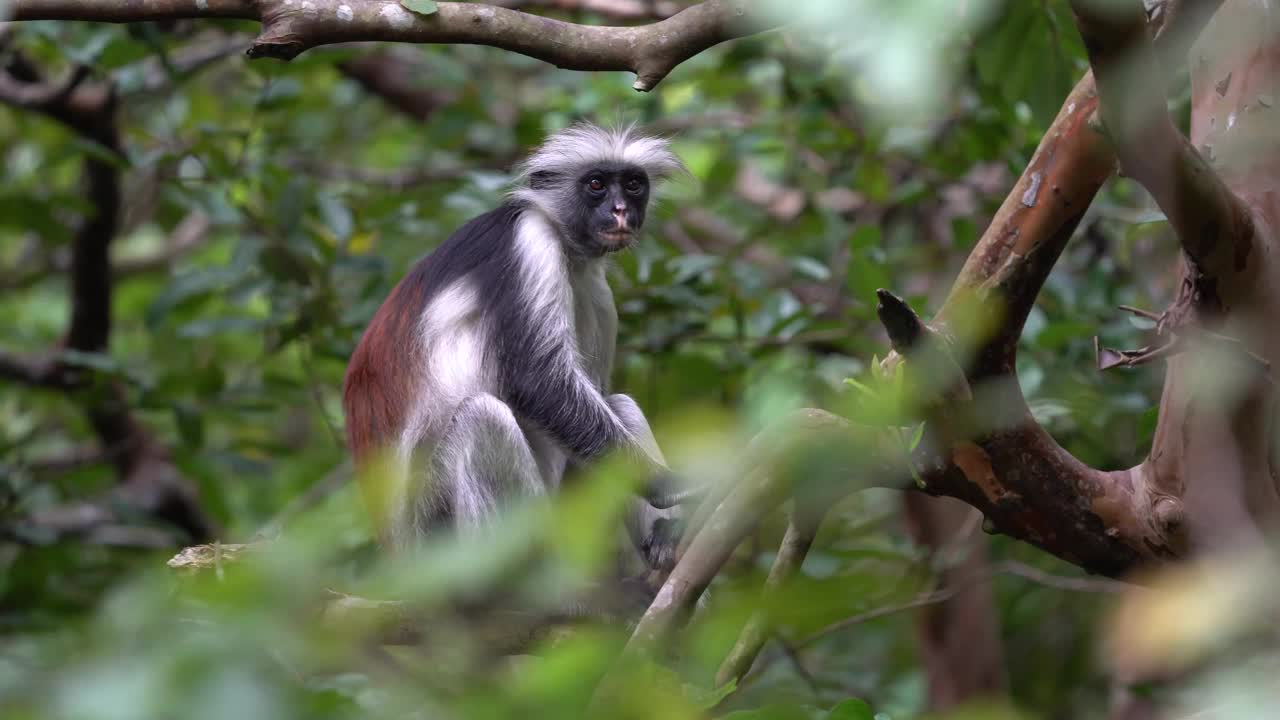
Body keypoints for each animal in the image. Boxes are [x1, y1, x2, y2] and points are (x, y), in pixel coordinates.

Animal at [343, 124, 701, 576]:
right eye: (596, 184)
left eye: (634, 184)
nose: (620, 210)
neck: (567, 248)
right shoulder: (528, 242)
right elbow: (537, 381)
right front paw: (667, 484)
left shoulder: (596, 288)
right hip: (433, 530)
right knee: (483, 419)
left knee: (616, 404)